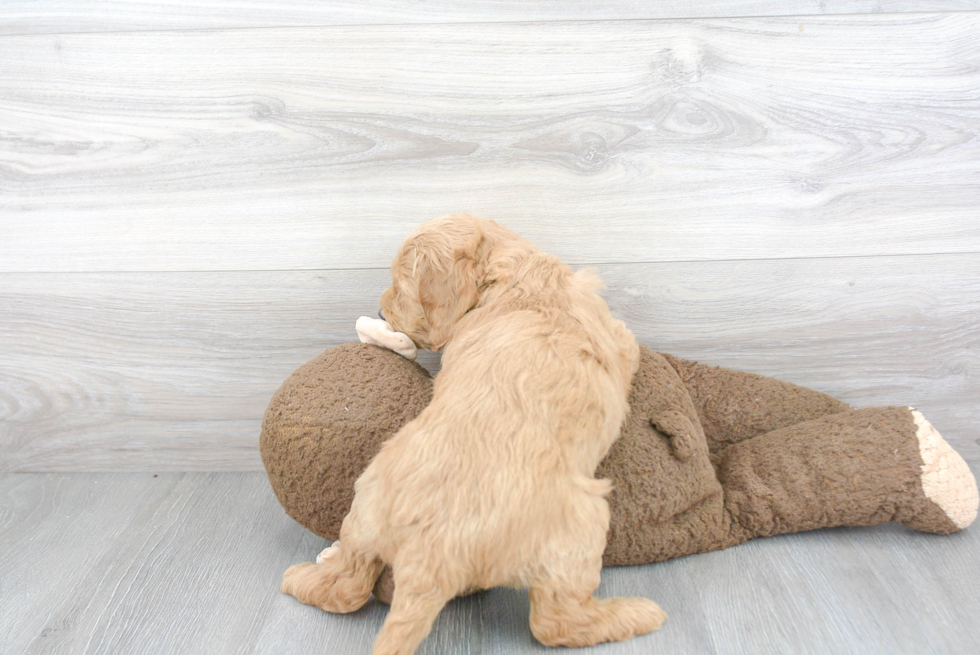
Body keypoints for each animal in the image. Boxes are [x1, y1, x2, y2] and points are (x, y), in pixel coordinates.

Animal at [282, 214, 668, 652]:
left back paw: (307, 573)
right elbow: (628, 343)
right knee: (554, 622)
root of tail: (430, 553)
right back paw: (635, 613)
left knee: (347, 587)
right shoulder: (617, 336)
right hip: (582, 524)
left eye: (400, 288)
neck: (512, 272)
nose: (378, 309)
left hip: (365, 506)